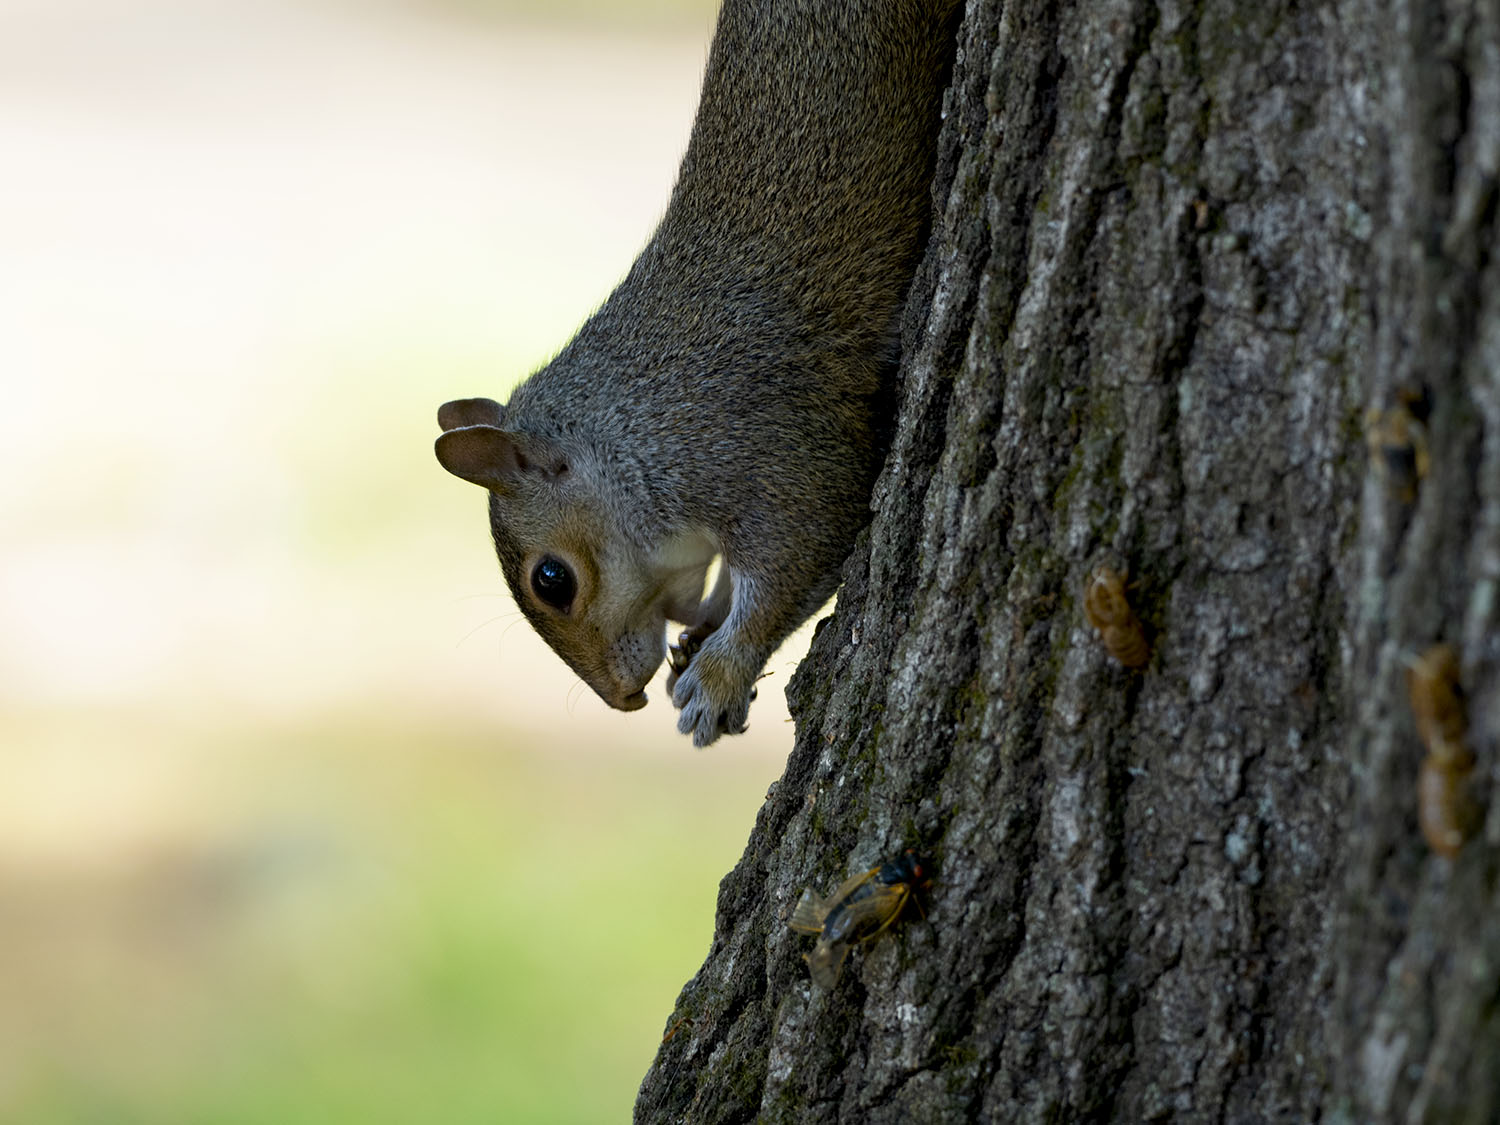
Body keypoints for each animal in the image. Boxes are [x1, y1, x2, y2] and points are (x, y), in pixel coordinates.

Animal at [435, 0, 960, 750]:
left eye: (552, 580)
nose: (623, 700)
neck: (634, 431)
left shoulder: (767, 455)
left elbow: (792, 563)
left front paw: (718, 678)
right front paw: (705, 627)